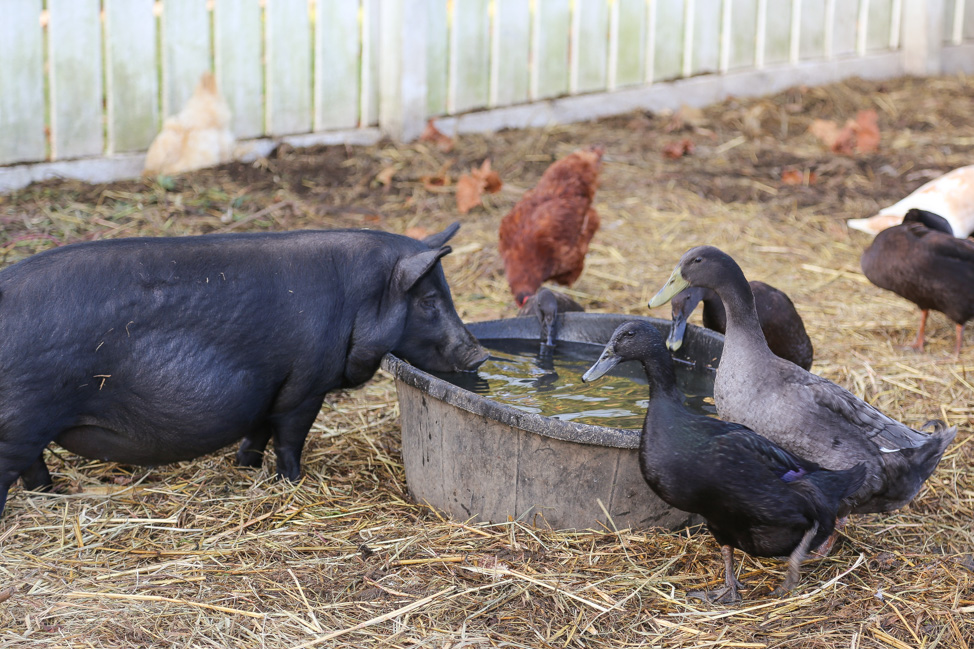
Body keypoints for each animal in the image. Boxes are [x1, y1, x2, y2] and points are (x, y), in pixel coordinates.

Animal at [0, 223, 488, 516]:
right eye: (429, 301)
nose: (480, 355)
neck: (360, 299)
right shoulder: (306, 385)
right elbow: (290, 437)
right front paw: (294, 482)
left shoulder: (270, 389)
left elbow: (258, 431)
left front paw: (245, 467)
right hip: (23, 416)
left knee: (32, 465)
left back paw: (51, 494)